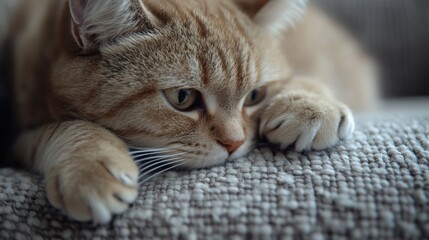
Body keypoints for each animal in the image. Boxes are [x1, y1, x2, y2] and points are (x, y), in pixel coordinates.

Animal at [0, 0, 374, 224]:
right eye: (182, 98)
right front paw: (89, 164)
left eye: (255, 95)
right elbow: (67, 128)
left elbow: (306, 79)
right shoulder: (17, 137)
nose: (234, 143)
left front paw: (310, 103)